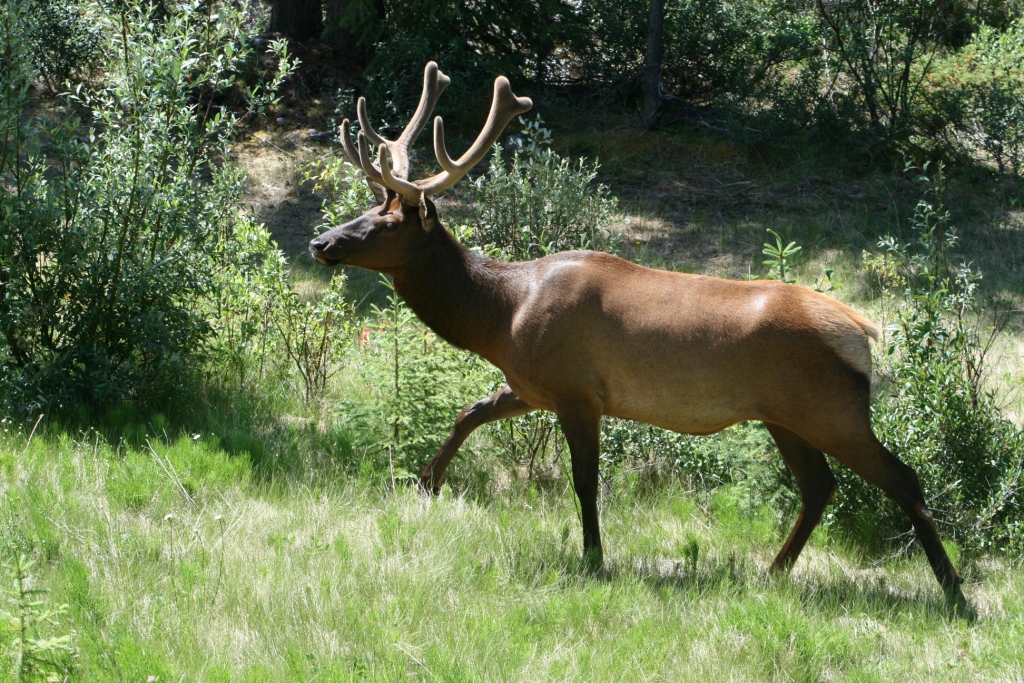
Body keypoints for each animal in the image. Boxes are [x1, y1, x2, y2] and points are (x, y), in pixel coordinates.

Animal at [307, 61, 962, 602]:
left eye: (387, 224)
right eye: (368, 210)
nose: (320, 242)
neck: (501, 317)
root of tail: (863, 332)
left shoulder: (579, 391)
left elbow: (584, 481)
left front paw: (594, 559)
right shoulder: (535, 384)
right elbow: (471, 410)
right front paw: (425, 484)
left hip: (832, 409)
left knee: (902, 479)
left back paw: (954, 592)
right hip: (785, 414)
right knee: (819, 486)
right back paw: (773, 571)